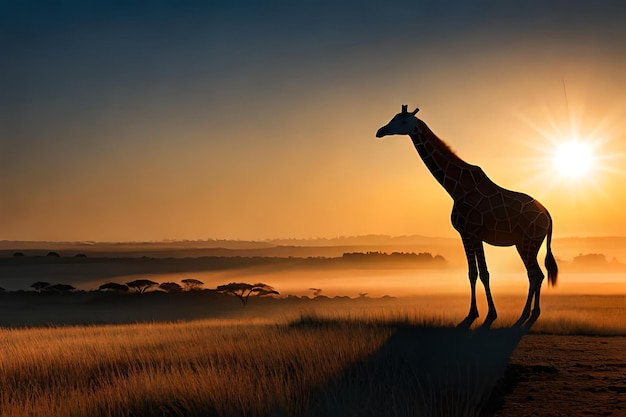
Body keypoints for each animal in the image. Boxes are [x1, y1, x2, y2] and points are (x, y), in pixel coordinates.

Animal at [376, 105, 556, 326]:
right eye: (393, 117)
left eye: (402, 121)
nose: (380, 131)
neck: (456, 188)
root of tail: (548, 216)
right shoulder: (465, 234)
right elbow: (472, 273)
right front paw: (472, 313)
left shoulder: (474, 232)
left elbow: (484, 273)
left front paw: (490, 314)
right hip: (524, 243)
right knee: (536, 274)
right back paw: (531, 313)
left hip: (529, 241)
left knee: (534, 274)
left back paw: (526, 314)